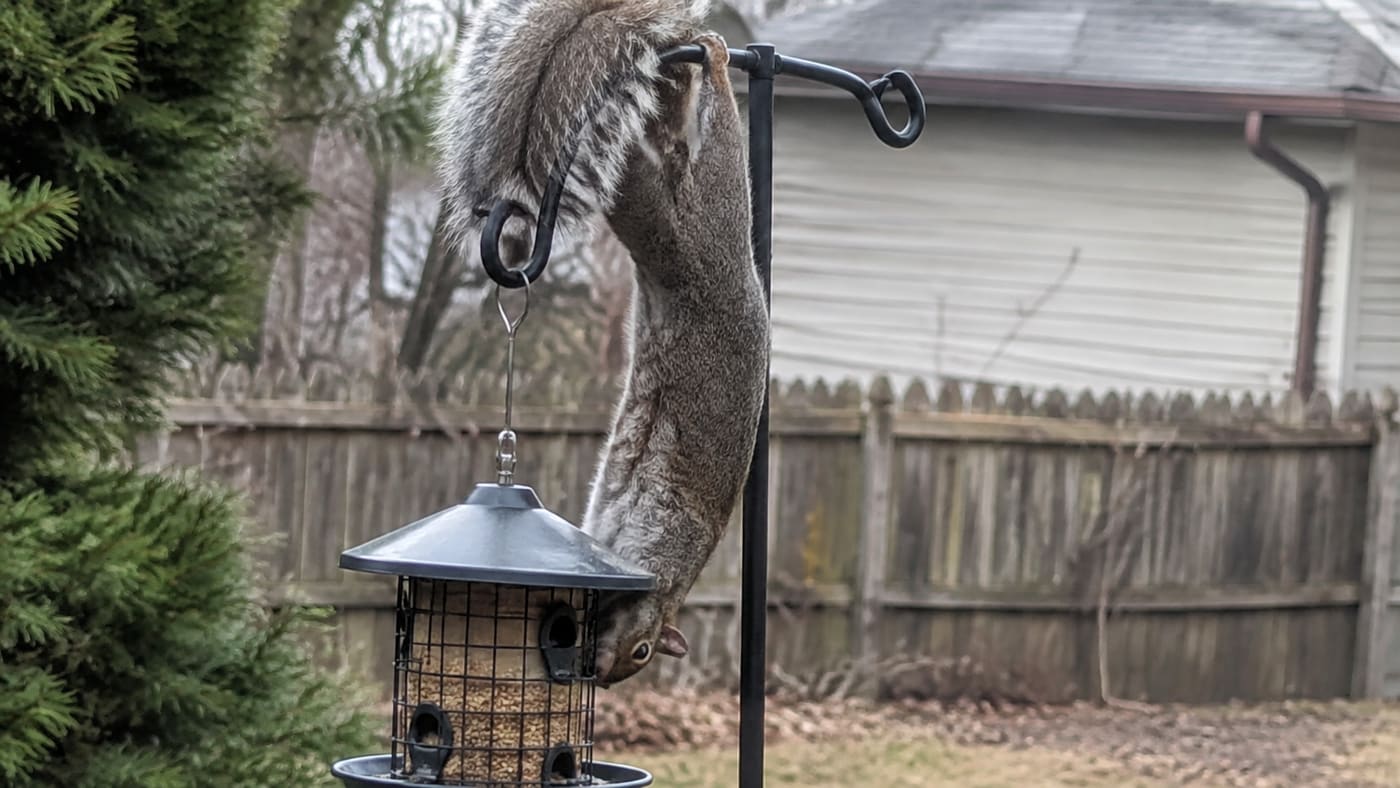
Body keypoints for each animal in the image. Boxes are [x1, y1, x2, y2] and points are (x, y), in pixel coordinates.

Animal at [581, 36, 768, 687]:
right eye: (643, 652)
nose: (603, 674)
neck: (667, 584)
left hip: (665, 235)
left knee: (636, 183)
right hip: (697, 228)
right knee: (705, 158)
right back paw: (715, 66)